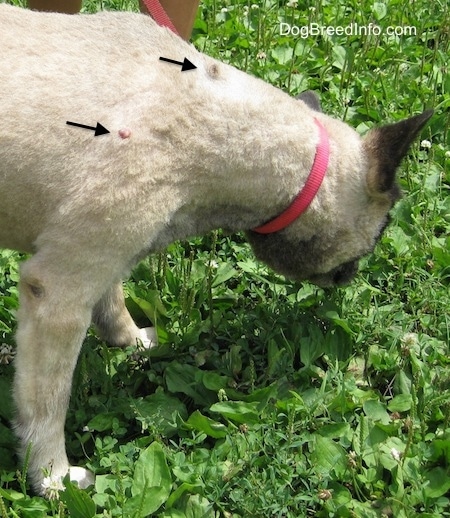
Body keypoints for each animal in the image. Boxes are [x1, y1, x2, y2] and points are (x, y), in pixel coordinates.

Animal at [1, 4, 434, 496]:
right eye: (384, 227)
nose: (353, 273)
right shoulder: (59, 294)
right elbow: (47, 402)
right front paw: (52, 476)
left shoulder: (105, 253)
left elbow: (111, 301)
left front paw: (129, 340)